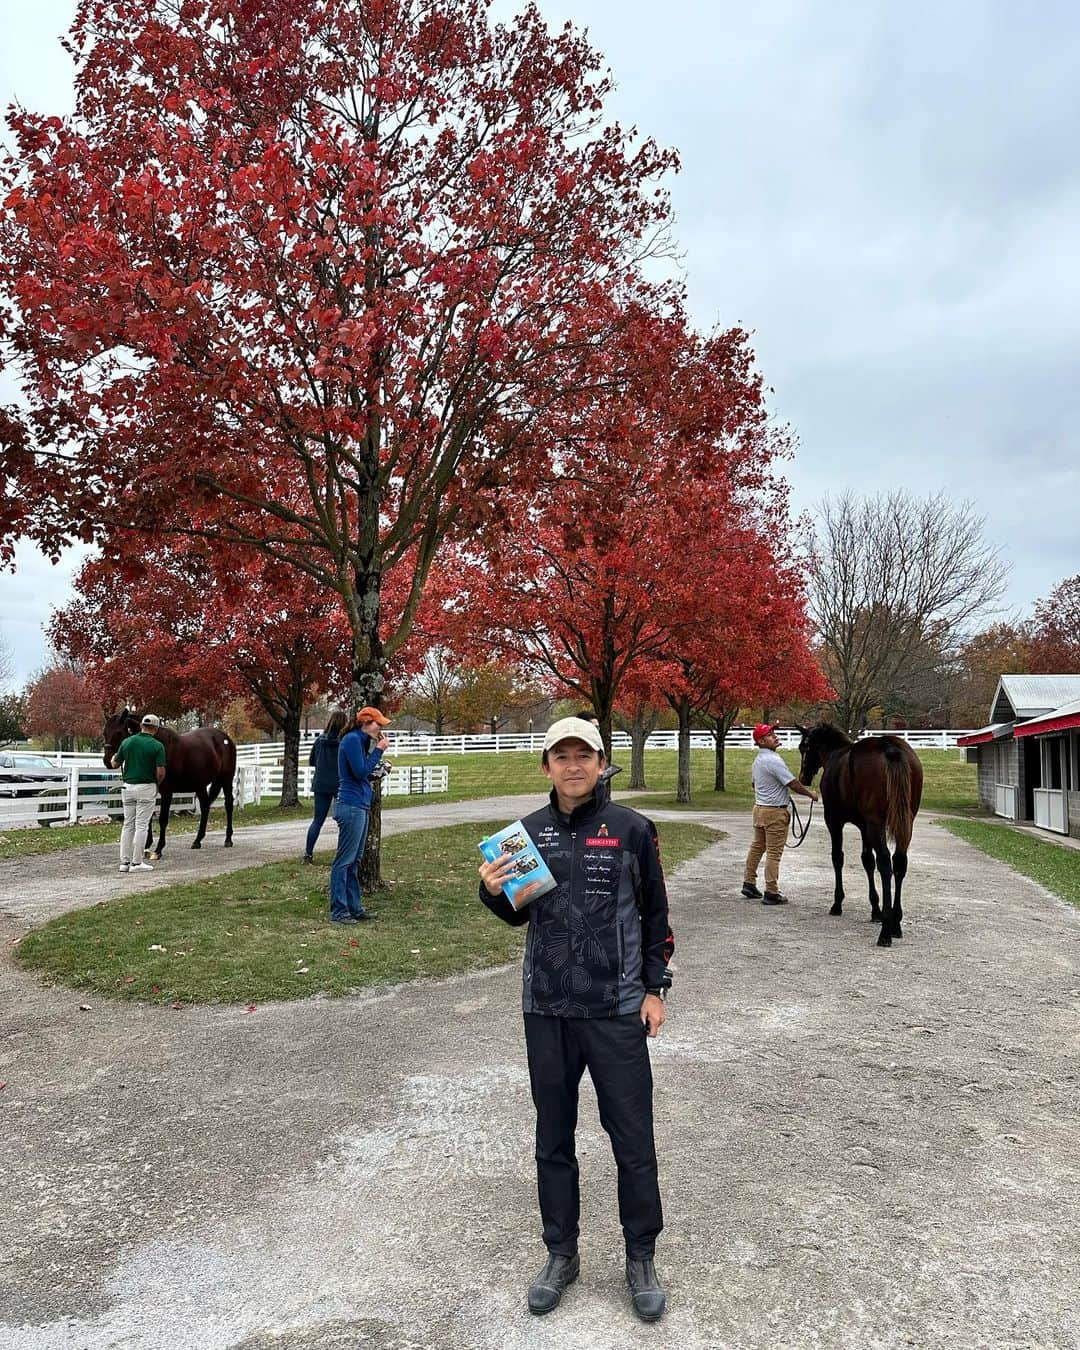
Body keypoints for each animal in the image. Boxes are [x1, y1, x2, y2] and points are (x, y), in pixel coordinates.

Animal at [102, 712, 236, 858]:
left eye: (119, 732)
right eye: (104, 732)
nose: (107, 761)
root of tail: (226, 738)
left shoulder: (167, 792)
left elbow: (163, 820)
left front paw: (159, 849)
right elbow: (148, 818)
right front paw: (146, 846)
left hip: (226, 779)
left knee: (228, 805)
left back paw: (228, 839)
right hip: (200, 785)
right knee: (205, 807)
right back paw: (197, 841)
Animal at [799, 729, 923, 950]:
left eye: (803, 747)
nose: (803, 777)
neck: (835, 755)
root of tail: (888, 745)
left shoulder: (834, 821)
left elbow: (838, 858)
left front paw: (837, 903)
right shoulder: (864, 827)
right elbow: (867, 861)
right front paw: (876, 910)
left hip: (876, 823)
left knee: (885, 863)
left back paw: (885, 933)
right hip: (906, 822)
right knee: (899, 862)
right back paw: (896, 923)